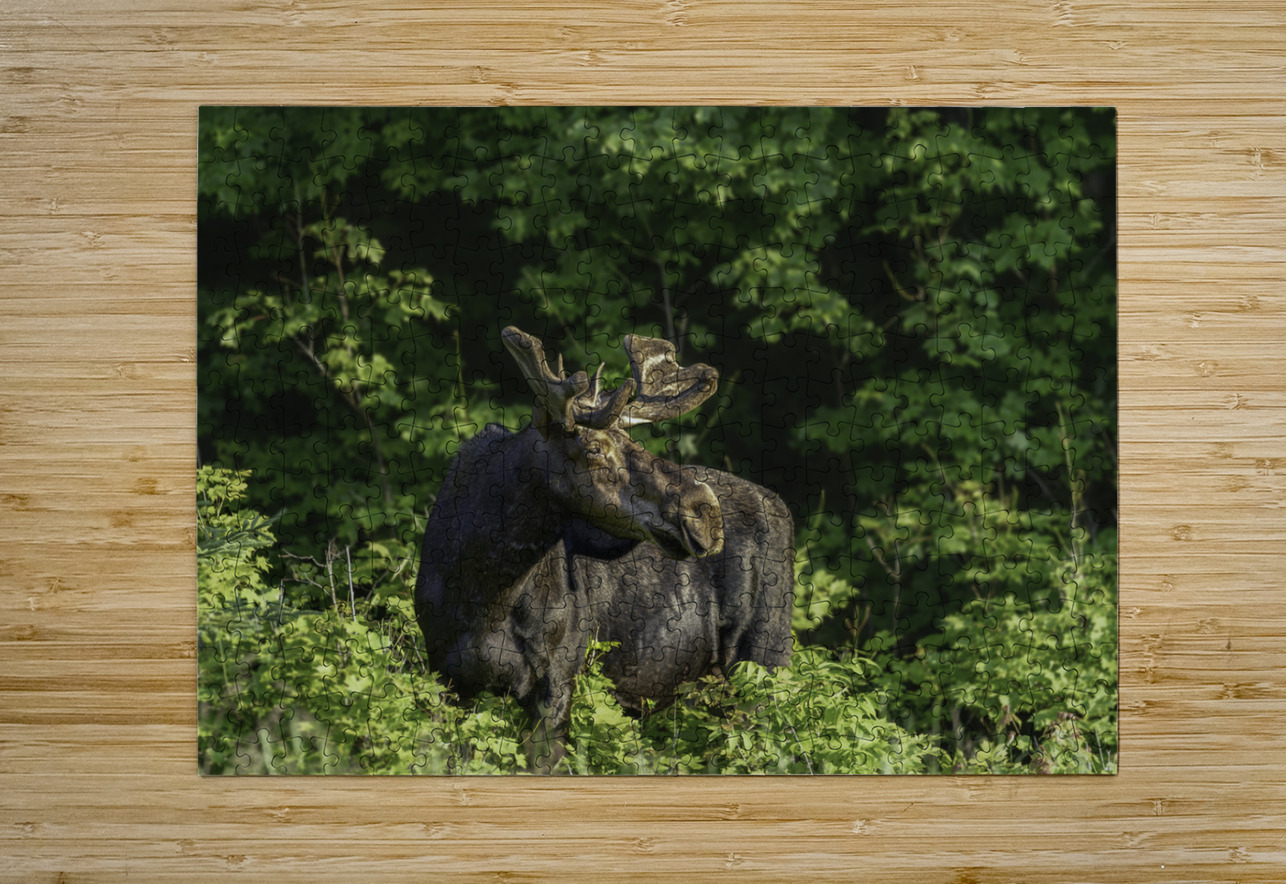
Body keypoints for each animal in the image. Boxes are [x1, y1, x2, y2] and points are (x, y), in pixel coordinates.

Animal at [414, 326, 793, 771]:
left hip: (765, 661)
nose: (705, 511)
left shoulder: (558, 679)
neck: (486, 590)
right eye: (593, 448)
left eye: (629, 439)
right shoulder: (447, 676)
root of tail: (781, 507)